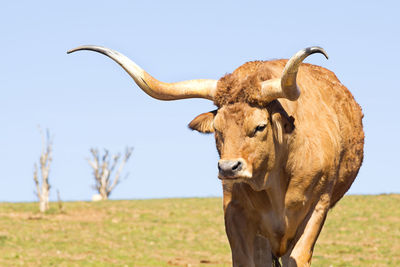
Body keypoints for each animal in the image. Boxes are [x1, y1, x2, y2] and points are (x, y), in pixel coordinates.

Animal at [67, 45, 364, 266]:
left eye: (260, 126)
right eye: (218, 130)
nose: (229, 168)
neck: (275, 180)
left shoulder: (317, 208)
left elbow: (298, 258)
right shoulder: (236, 214)